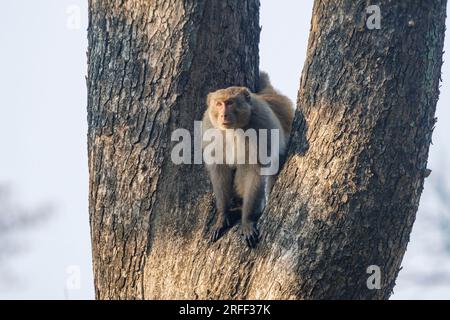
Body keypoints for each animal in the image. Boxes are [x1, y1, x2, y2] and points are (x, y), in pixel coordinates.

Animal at [202, 72, 294, 248]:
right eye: (219, 104)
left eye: (230, 103)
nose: (223, 114)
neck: (233, 129)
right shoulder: (210, 127)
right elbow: (219, 170)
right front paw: (222, 216)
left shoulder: (261, 126)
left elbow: (254, 170)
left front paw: (247, 221)